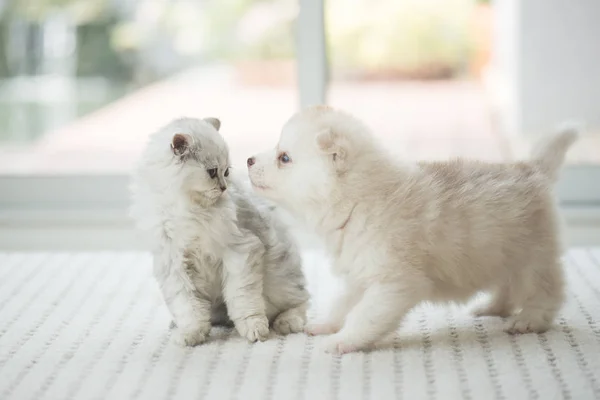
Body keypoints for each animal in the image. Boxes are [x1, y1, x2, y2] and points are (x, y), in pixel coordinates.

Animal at [132, 117, 310, 346]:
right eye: (212, 172)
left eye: (226, 172)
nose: (224, 187)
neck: (189, 210)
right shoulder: (173, 265)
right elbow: (188, 308)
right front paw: (191, 334)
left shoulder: (240, 251)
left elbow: (242, 302)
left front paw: (254, 329)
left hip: (280, 281)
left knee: (300, 302)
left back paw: (286, 322)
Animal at [247, 105, 576, 354]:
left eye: (284, 157)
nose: (248, 159)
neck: (358, 200)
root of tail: (533, 169)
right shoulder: (361, 275)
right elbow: (343, 305)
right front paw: (326, 325)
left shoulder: (394, 283)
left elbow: (363, 316)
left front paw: (343, 341)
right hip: (503, 254)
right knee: (508, 286)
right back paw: (493, 307)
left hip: (533, 257)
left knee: (547, 290)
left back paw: (529, 320)